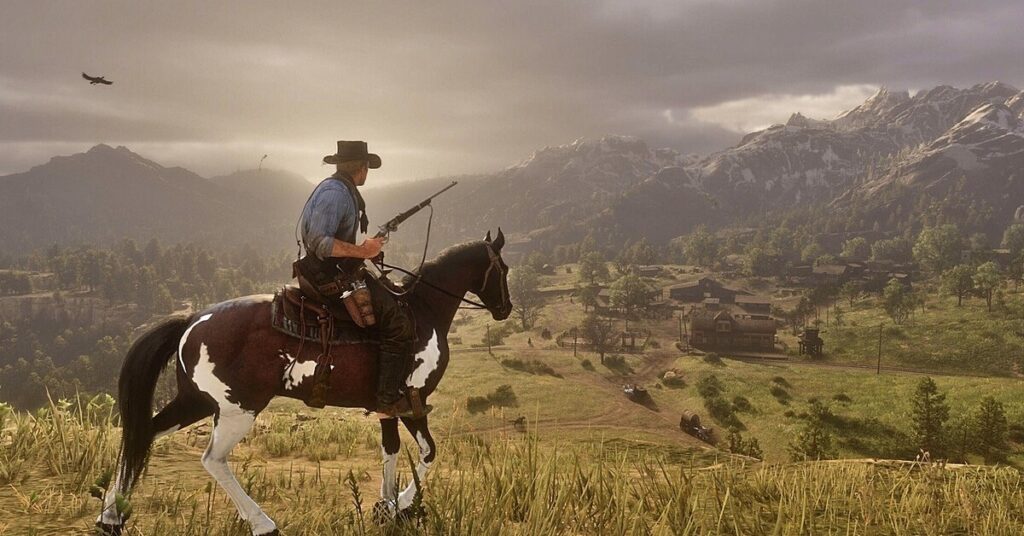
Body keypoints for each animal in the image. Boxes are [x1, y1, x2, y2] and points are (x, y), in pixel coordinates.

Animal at [96, 230, 512, 536]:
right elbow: (428, 454)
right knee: (212, 459)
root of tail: (193, 319)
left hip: (196, 401)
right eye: (504, 269)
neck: (421, 309)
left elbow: (390, 451)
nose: (505, 309)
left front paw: (385, 506)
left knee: (144, 433)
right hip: (237, 409)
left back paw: (110, 517)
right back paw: (263, 523)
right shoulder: (413, 400)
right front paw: (401, 506)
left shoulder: (387, 405)